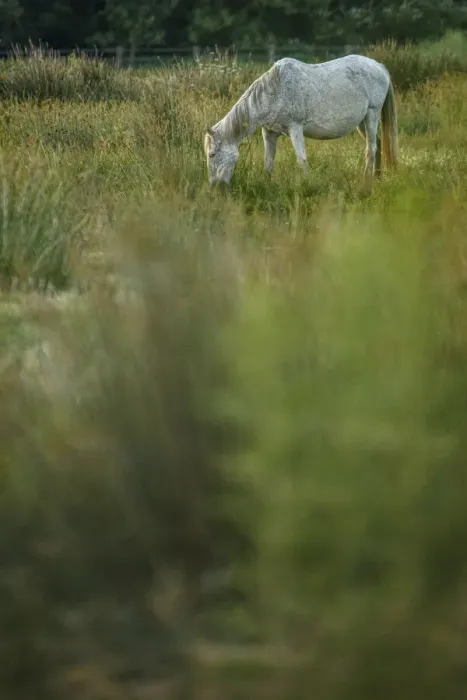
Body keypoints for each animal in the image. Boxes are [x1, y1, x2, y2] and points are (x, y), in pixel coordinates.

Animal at [203, 54, 398, 192]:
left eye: (212, 154)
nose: (215, 188)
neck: (275, 90)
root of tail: (379, 66)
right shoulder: (269, 133)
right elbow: (268, 163)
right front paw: (268, 186)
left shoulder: (295, 128)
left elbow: (302, 160)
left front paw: (307, 186)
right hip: (361, 122)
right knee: (377, 144)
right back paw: (377, 178)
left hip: (372, 114)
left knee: (370, 149)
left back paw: (367, 184)